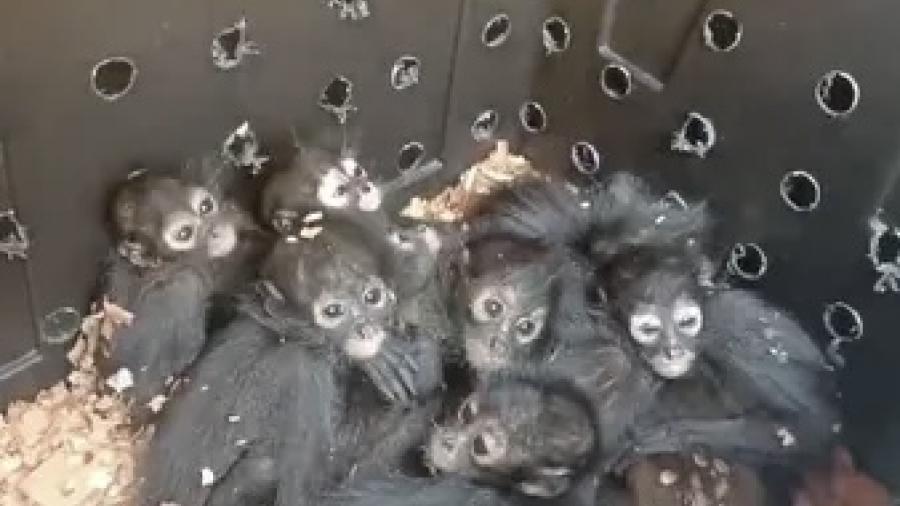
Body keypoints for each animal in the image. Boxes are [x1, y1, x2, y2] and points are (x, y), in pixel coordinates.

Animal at [139, 219, 443, 506]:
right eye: (333, 311)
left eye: (372, 297)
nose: (365, 329)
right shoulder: (305, 374)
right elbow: (314, 487)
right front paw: (392, 360)